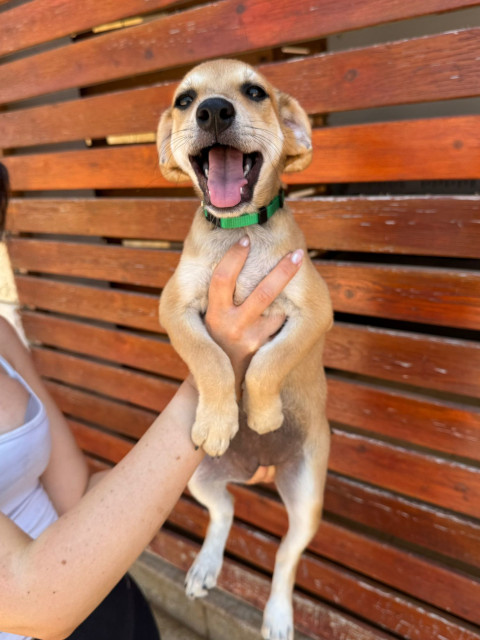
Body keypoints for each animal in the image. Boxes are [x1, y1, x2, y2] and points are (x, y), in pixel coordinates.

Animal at [157, 59, 332, 640]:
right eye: (185, 100)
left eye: (255, 92)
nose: (214, 110)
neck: (239, 233)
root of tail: (257, 466)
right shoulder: (175, 310)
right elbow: (212, 359)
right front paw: (219, 420)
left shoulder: (314, 310)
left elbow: (266, 364)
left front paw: (261, 411)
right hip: (198, 478)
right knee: (226, 511)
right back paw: (206, 566)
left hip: (308, 494)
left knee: (285, 558)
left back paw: (277, 616)